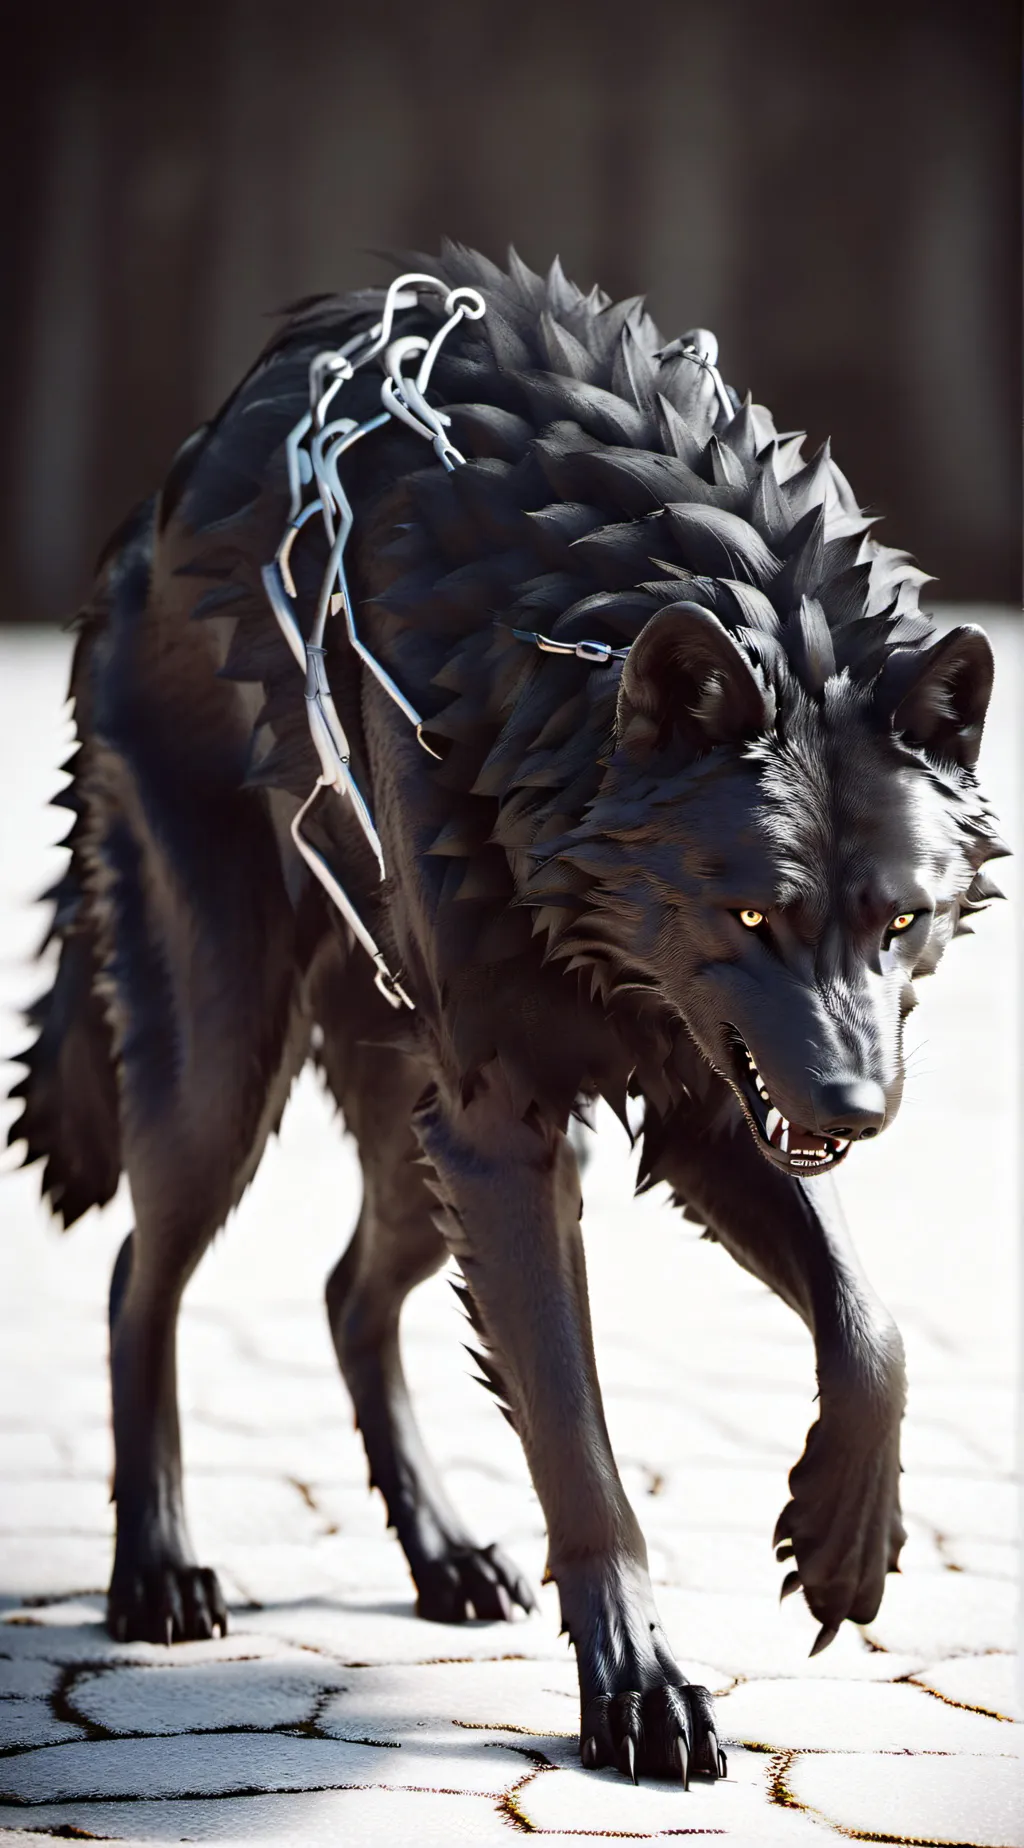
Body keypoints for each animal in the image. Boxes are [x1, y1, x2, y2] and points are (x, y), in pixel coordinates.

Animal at [11, 244, 1003, 1785]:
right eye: (753, 919)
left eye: (900, 921)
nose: (856, 1108)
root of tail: (134, 538)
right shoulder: (515, 1133)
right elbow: (582, 1452)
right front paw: (639, 1688)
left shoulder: (702, 1105)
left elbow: (871, 1327)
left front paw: (844, 1545)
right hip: (231, 1078)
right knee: (138, 1280)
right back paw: (158, 1572)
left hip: (419, 1139)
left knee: (348, 1293)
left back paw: (441, 1555)